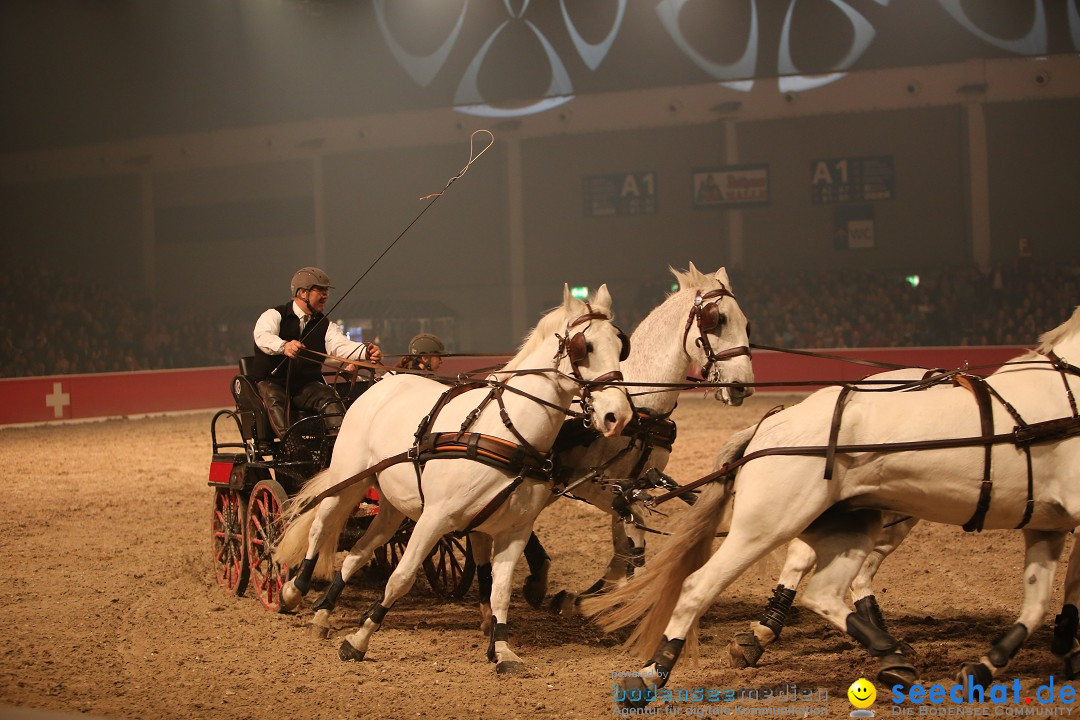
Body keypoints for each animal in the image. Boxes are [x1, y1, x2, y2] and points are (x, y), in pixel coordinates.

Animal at [274, 284, 635, 673]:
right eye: (585, 346)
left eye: (620, 344)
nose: (618, 416)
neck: (507, 433)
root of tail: (377, 386)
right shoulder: (435, 518)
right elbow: (401, 578)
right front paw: (358, 640)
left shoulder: (514, 530)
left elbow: (500, 591)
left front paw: (503, 650)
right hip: (349, 481)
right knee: (321, 527)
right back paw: (293, 590)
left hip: (394, 506)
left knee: (359, 550)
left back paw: (323, 613)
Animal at [473, 264, 751, 626]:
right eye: (716, 319)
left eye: (746, 322)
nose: (742, 386)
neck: (640, 406)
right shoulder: (594, 485)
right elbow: (633, 536)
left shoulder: (631, 485)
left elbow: (624, 539)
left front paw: (591, 594)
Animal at [587, 306, 1080, 708]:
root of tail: (771, 424)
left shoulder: (1051, 524)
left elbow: (1042, 600)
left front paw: (1017, 657)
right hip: (771, 524)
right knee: (701, 586)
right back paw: (652, 675)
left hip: (854, 520)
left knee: (826, 583)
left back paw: (885, 652)